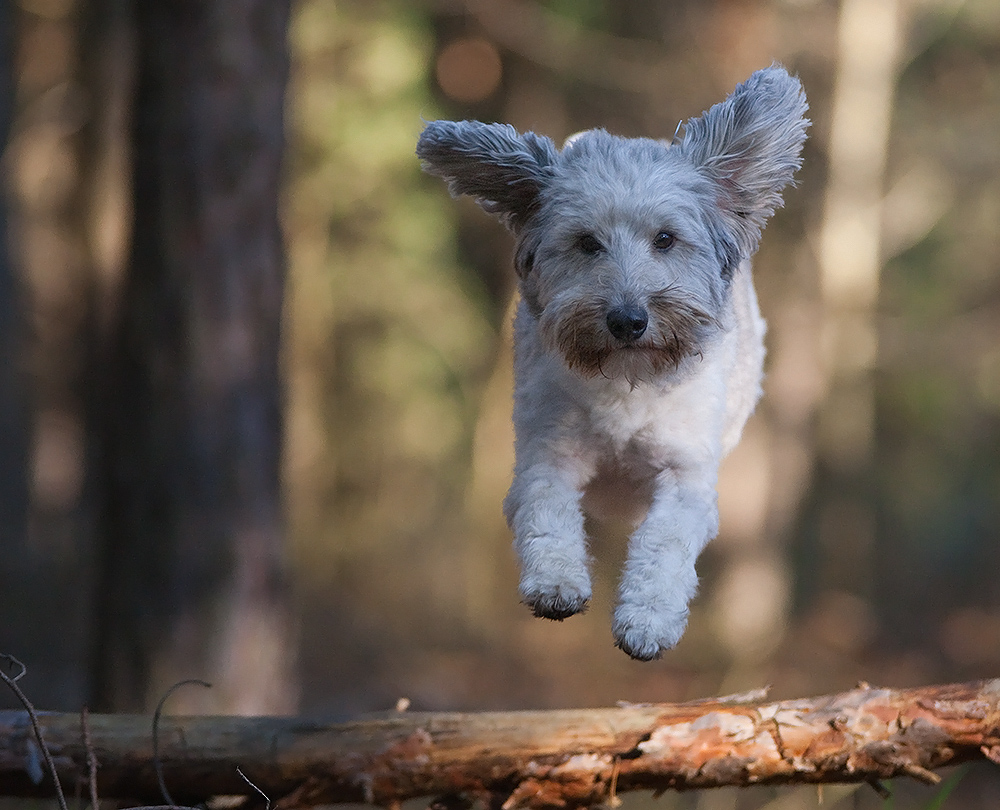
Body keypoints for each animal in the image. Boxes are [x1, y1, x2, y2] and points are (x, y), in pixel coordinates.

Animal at [418, 63, 808, 656]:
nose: (628, 320)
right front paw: (556, 582)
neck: (628, 383)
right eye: (586, 243)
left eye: (666, 239)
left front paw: (648, 619)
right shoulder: (548, 450)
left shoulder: (686, 473)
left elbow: (665, 541)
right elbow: (546, 509)